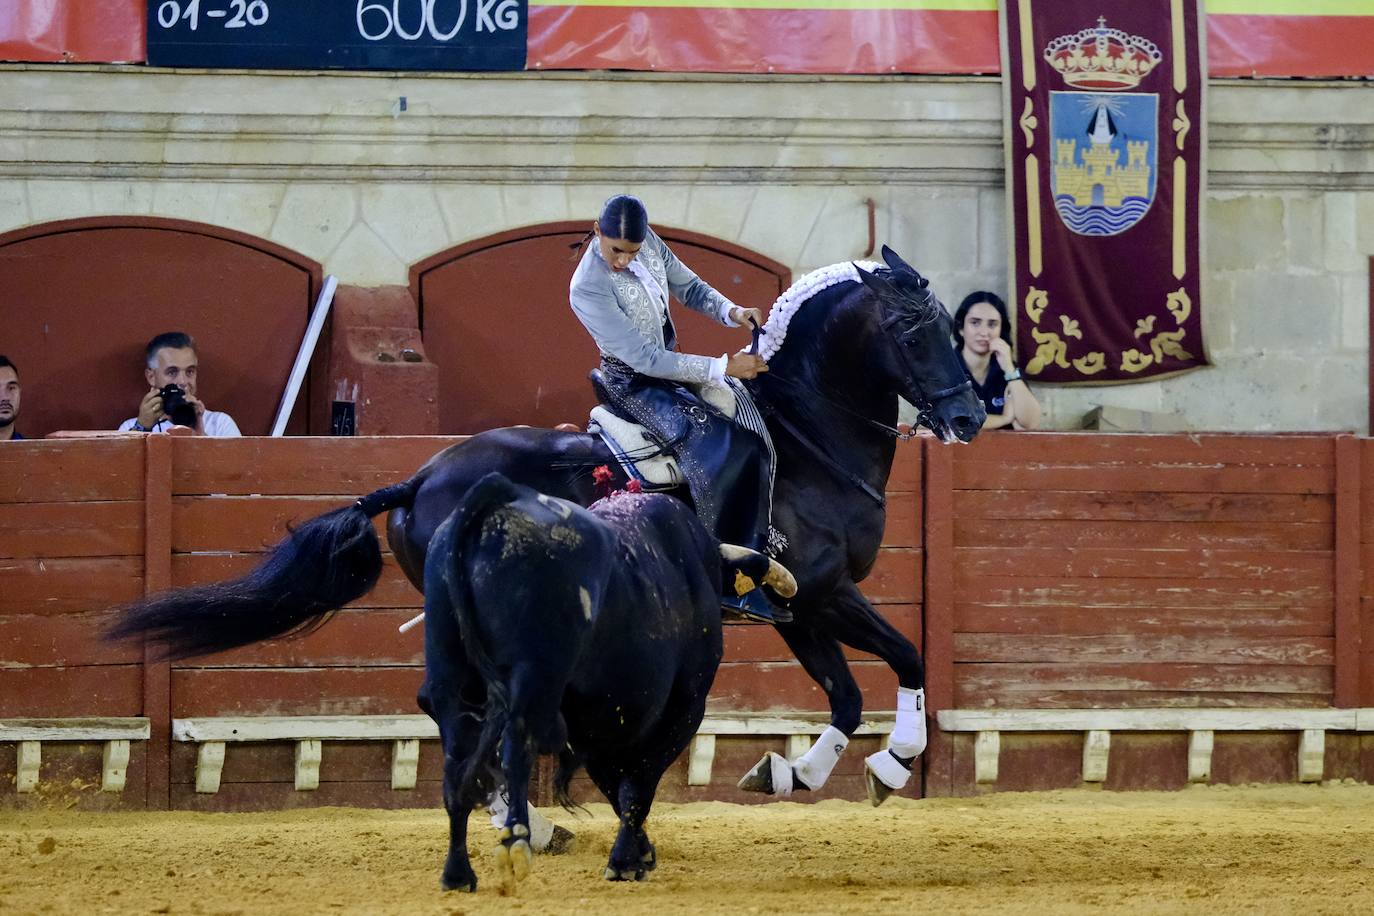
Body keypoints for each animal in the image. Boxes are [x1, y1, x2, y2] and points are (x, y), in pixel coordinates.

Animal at [112, 247, 983, 796]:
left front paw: (796, 772)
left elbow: (855, 690)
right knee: (470, 706)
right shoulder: (819, 594)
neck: (805, 435)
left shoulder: (802, 606)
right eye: (914, 331)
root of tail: (421, 476)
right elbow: (900, 659)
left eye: (951, 323)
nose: (973, 414)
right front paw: (892, 766)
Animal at [423, 477, 802, 889]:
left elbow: (617, 787)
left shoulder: (599, 724)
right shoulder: (684, 708)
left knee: (457, 765)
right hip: (534, 678)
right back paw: (516, 843)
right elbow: (639, 782)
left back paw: (458, 873)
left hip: (450, 682)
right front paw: (626, 860)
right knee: (516, 747)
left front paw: (640, 853)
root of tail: (500, 497)